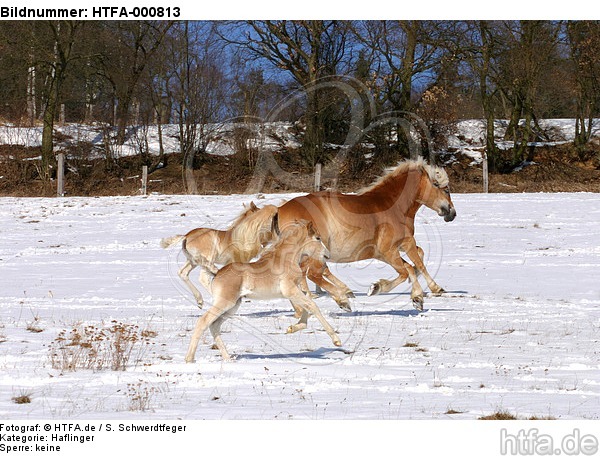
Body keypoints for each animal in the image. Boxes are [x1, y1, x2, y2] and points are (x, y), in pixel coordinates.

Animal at [276, 159, 454, 312]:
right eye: (446, 189)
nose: (452, 213)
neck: (394, 207)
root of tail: (280, 210)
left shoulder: (386, 252)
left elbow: (412, 265)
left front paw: (414, 295)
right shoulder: (396, 247)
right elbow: (413, 267)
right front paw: (426, 292)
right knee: (313, 274)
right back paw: (341, 299)